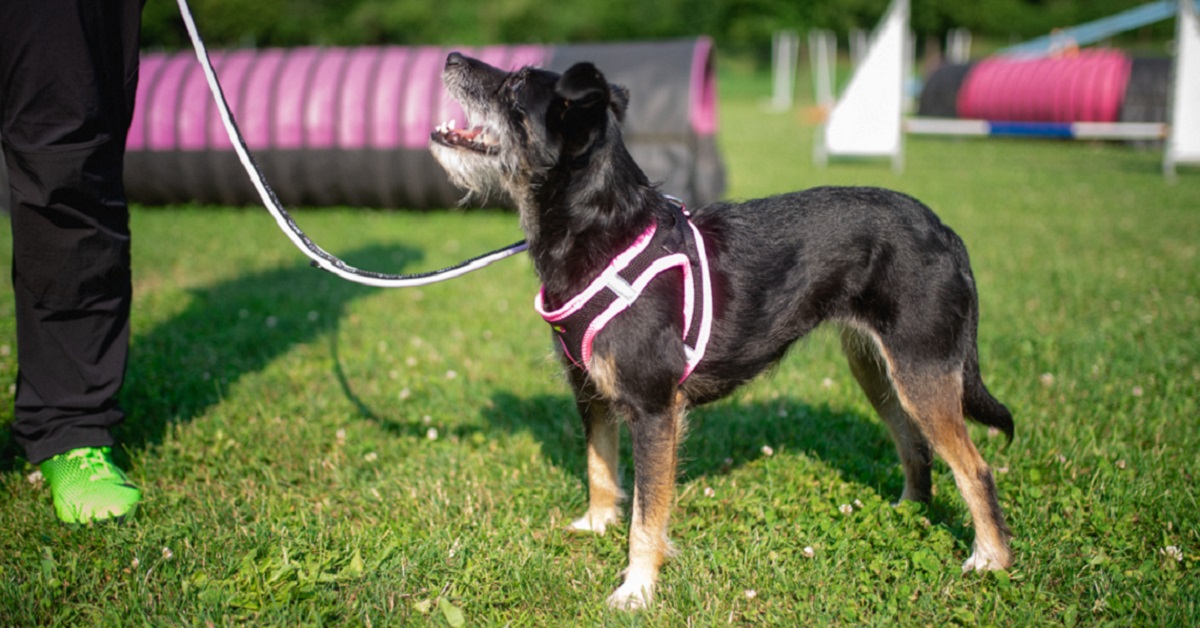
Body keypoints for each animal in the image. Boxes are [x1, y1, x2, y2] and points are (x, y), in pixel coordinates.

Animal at [432, 51, 1012, 612]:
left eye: (516, 85)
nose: (452, 56)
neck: (600, 228)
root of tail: (944, 231)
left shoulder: (653, 409)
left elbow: (646, 517)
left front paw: (637, 589)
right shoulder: (590, 393)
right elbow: (600, 468)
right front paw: (597, 525)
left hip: (921, 369)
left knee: (975, 468)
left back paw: (991, 560)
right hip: (878, 370)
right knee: (915, 444)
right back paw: (909, 512)